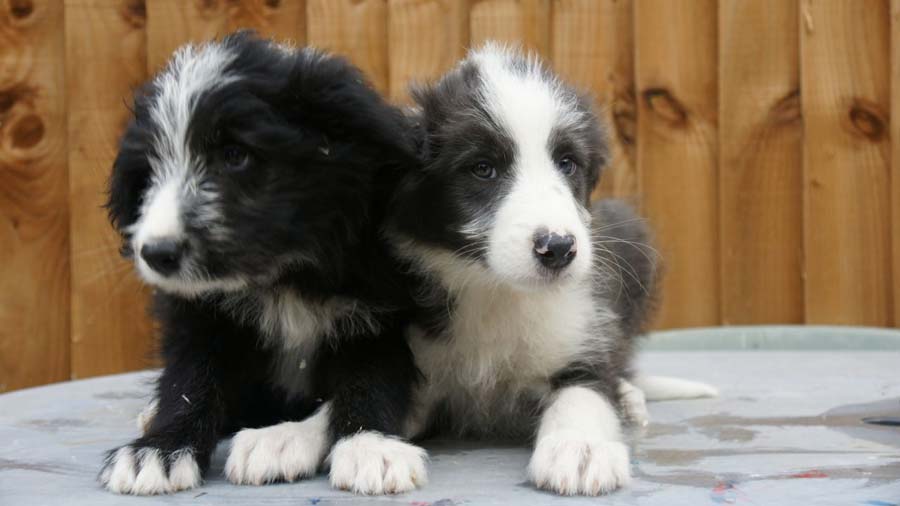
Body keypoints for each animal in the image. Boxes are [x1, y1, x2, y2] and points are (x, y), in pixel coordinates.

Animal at [98, 31, 422, 494]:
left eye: (235, 155)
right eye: (150, 170)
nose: (157, 254)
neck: (284, 273)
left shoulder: (381, 311)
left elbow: (370, 377)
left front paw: (369, 446)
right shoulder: (201, 314)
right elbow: (190, 377)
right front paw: (159, 450)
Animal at [384, 43, 656, 494]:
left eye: (567, 163)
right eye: (483, 169)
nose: (559, 248)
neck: (497, 289)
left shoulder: (584, 339)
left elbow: (584, 393)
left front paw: (579, 450)